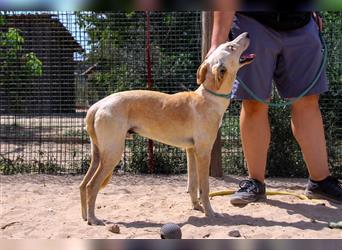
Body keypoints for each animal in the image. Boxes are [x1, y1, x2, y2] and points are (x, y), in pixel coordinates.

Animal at [81, 31, 255, 225]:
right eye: (231, 47)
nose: (247, 33)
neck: (208, 98)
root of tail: (97, 105)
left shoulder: (191, 151)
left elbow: (193, 185)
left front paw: (197, 207)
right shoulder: (203, 152)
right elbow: (204, 188)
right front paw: (210, 213)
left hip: (98, 154)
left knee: (83, 185)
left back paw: (85, 217)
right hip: (113, 153)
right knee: (91, 186)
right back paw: (93, 219)